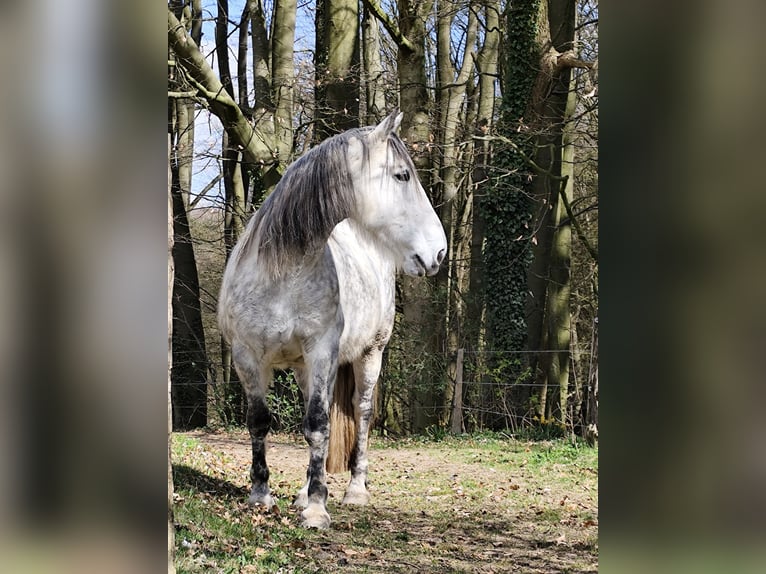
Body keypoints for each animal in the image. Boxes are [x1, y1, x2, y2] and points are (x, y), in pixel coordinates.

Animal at [217, 111, 447, 529]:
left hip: (370, 354)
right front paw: (262, 495)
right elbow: (260, 421)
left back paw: (354, 490)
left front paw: (316, 508)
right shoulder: (247, 357)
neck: (282, 273)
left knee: (361, 413)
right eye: (402, 175)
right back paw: (302, 490)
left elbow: (319, 426)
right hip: (302, 368)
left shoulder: (322, 351)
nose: (438, 252)